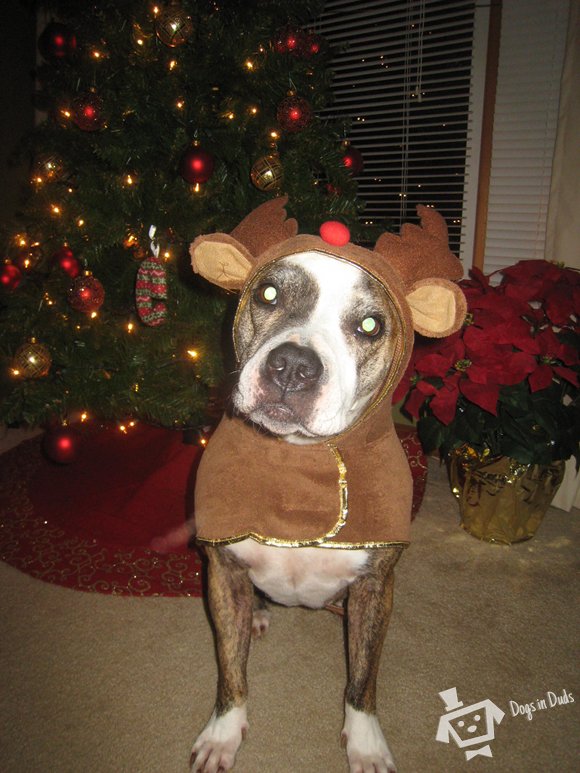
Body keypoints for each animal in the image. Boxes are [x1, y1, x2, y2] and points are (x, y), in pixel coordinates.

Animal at [188, 201, 464, 772]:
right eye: (269, 294)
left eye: (370, 325)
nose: (293, 366)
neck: (298, 465)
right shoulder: (220, 569)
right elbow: (230, 670)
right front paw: (224, 730)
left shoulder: (375, 587)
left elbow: (363, 679)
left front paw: (365, 741)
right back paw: (256, 616)